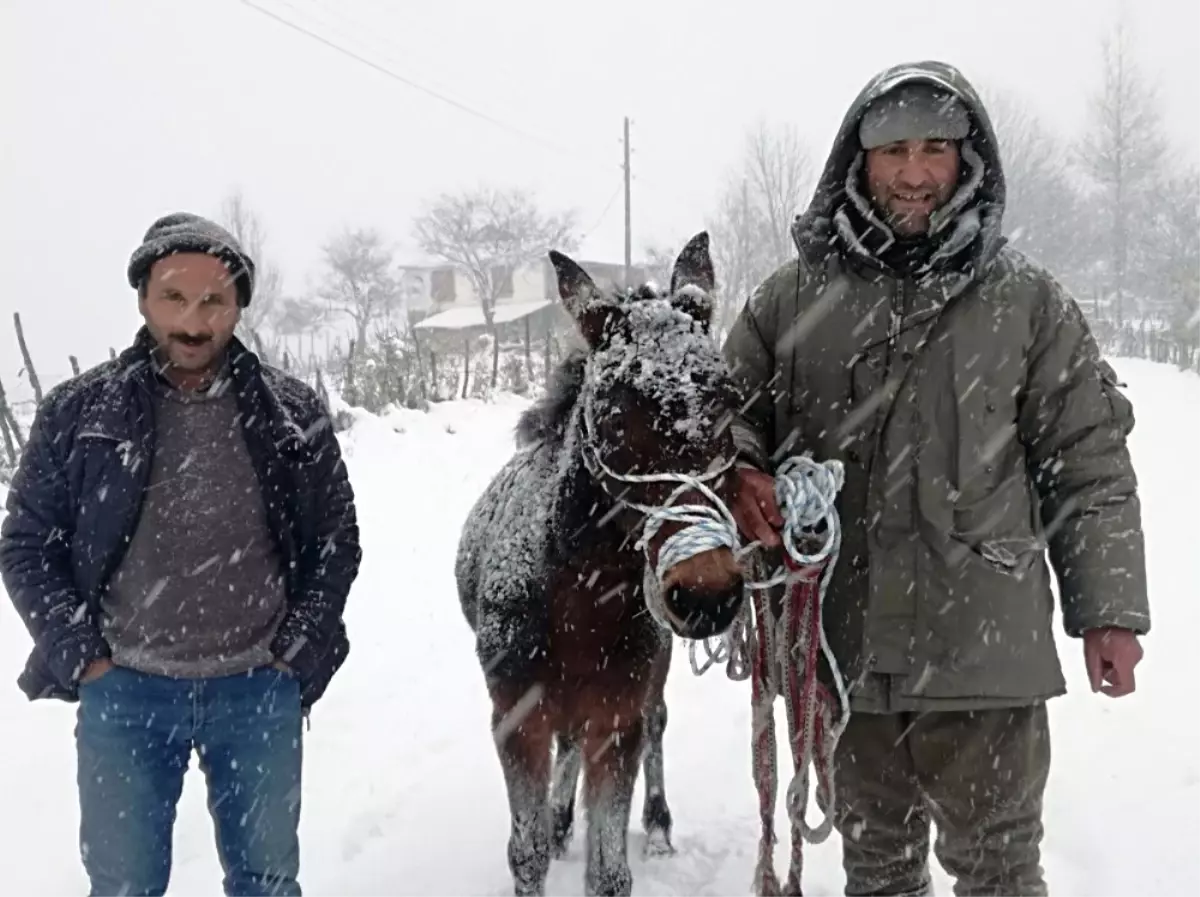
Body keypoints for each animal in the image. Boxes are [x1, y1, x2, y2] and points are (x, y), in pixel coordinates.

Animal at [453, 232, 744, 897]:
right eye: (612, 415)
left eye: (729, 402)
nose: (705, 593)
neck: (579, 595)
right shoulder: (516, 717)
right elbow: (527, 851)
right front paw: (552, 826)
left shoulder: (618, 716)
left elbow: (610, 870)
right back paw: (563, 817)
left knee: (657, 722)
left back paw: (658, 826)